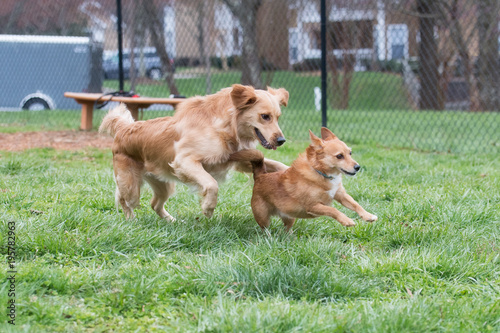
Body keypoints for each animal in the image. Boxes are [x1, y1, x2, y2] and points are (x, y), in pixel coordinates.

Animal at [99, 83, 290, 219]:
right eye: (265, 116)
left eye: (278, 117)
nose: (281, 141)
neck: (223, 126)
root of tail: (123, 129)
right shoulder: (185, 161)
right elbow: (211, 184)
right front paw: (208, 208)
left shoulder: (238, 159)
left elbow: (278, 164)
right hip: (131, 186)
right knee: (123, 199)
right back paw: (130, 219)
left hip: (163, 185)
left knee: (154, 204)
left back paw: (172, 221)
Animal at [232, 127, 376, 231]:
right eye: (339, 156)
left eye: (350, 153)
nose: (357, 167)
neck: (321, 174)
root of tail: (261, 175)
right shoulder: (313, 206)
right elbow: (333, 210)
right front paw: (346, 220)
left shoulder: (340, 195)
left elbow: (355, 204)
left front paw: (368, 216)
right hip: (263, 217)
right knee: (265, 229)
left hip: (289, 217)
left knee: (286, 229)